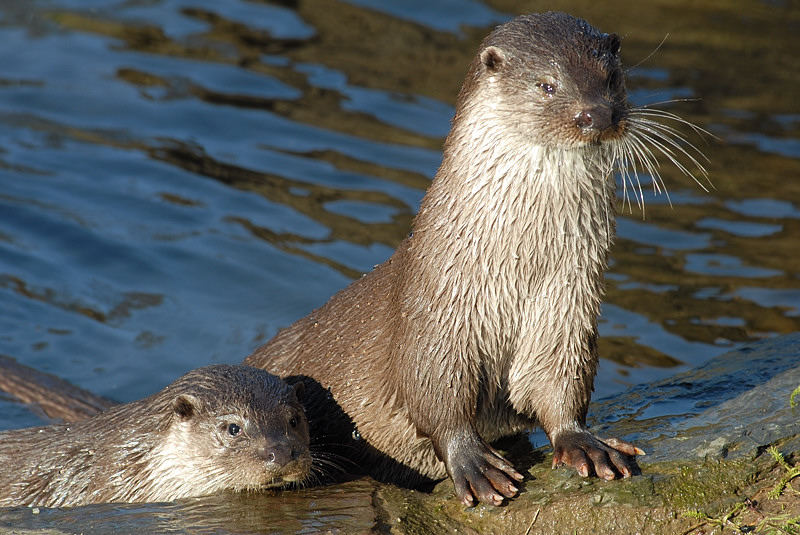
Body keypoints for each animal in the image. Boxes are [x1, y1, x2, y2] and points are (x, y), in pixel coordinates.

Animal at [247, 11, 704, 506]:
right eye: (547, 85)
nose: (598, 114)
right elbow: (435, 396)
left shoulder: (567, 309)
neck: (519, 269)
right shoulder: (436, 316)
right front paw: (473, 462)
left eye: (612, 78)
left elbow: (558, 383)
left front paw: (582, 441)